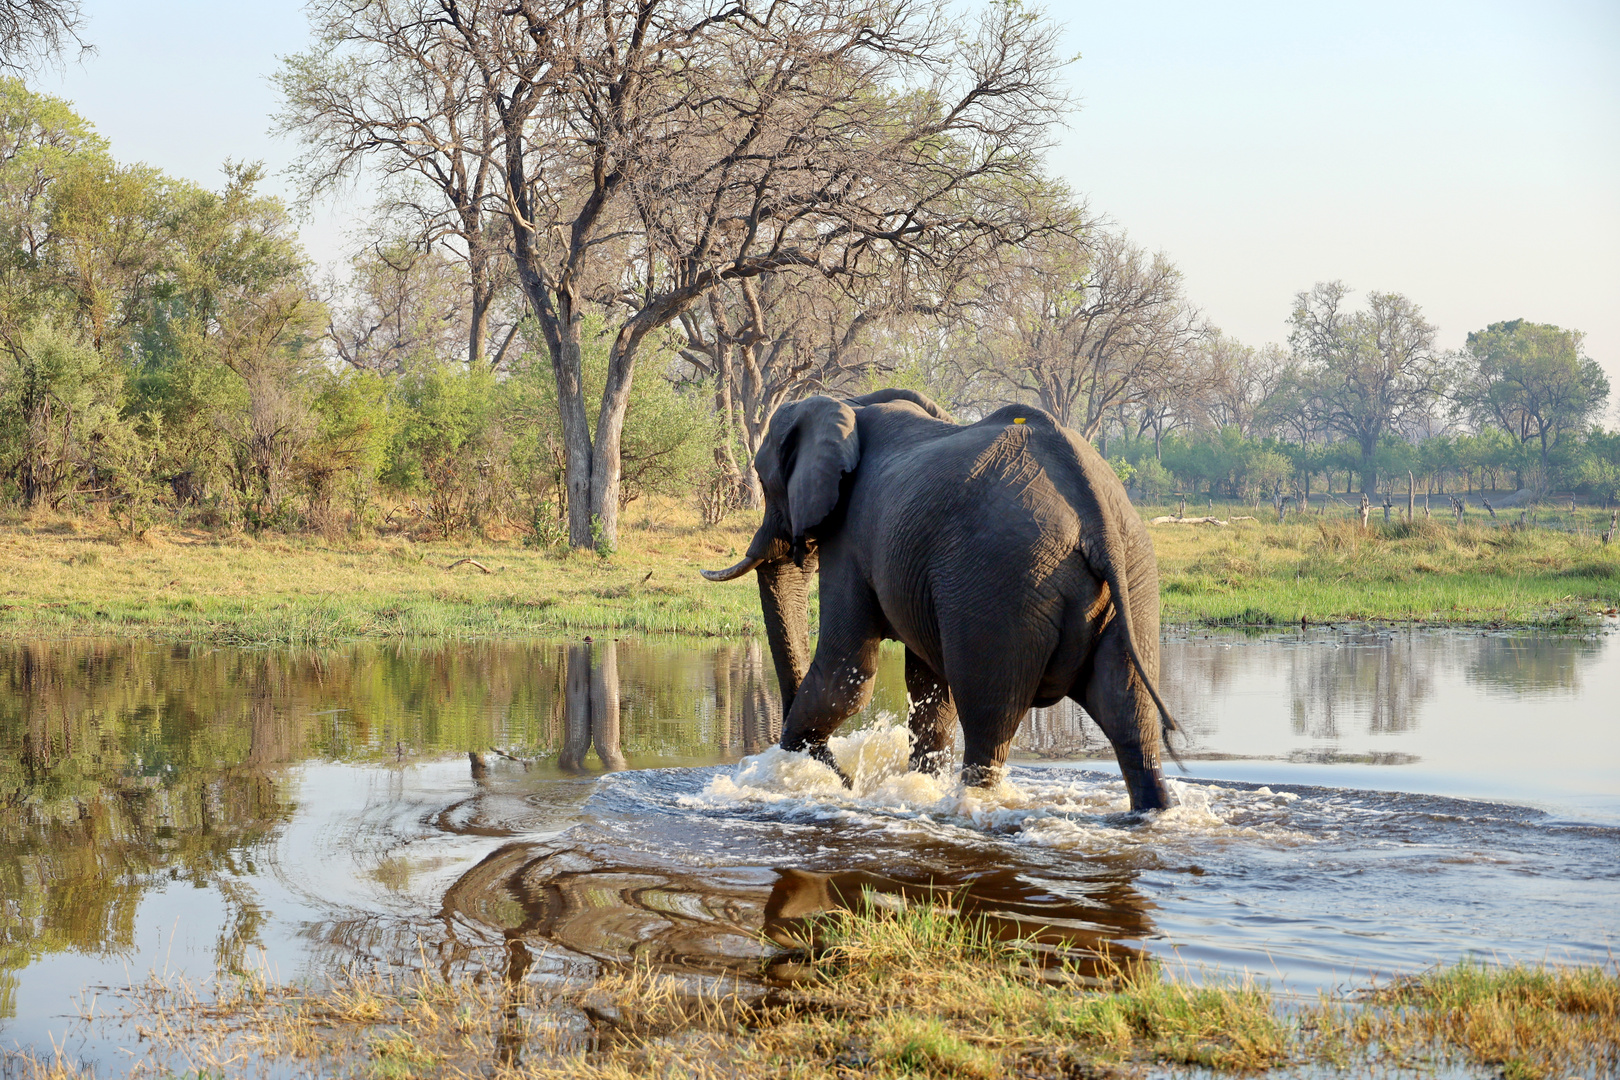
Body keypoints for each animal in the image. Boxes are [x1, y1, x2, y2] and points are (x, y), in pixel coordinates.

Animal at [696, 388, 1179, 809]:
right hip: (1133, 579)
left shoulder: (852, 536)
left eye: (764, 480)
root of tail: (1093, 507)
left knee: (989, 724)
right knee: (1132, 721)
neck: (848, 403)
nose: (848, 781)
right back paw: (1153, 810)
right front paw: (915, 783)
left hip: (1000, 585)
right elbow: (927, 686)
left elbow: (846, 674)